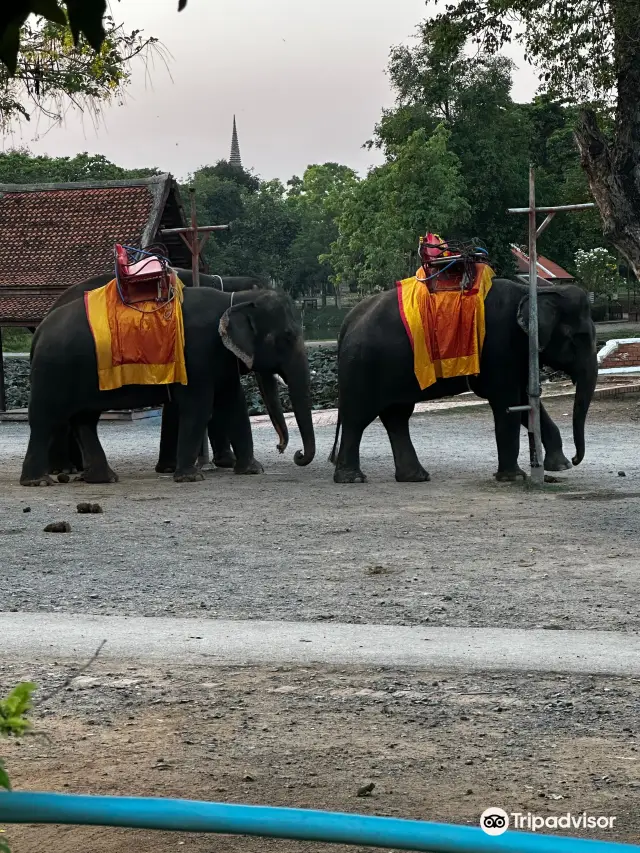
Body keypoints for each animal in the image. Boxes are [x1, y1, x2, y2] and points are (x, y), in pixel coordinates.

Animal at [330, 278, 598, 483]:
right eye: (577, 338)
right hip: (363, 366)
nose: (576, 458)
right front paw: (514, 477)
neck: (532, 291)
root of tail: (347, 321)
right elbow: (507, 402)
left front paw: (559, 466)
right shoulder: (498, 348)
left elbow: (525, 403)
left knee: (397, 416)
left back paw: (415, 477)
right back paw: (353, 478)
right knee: (358, 417)